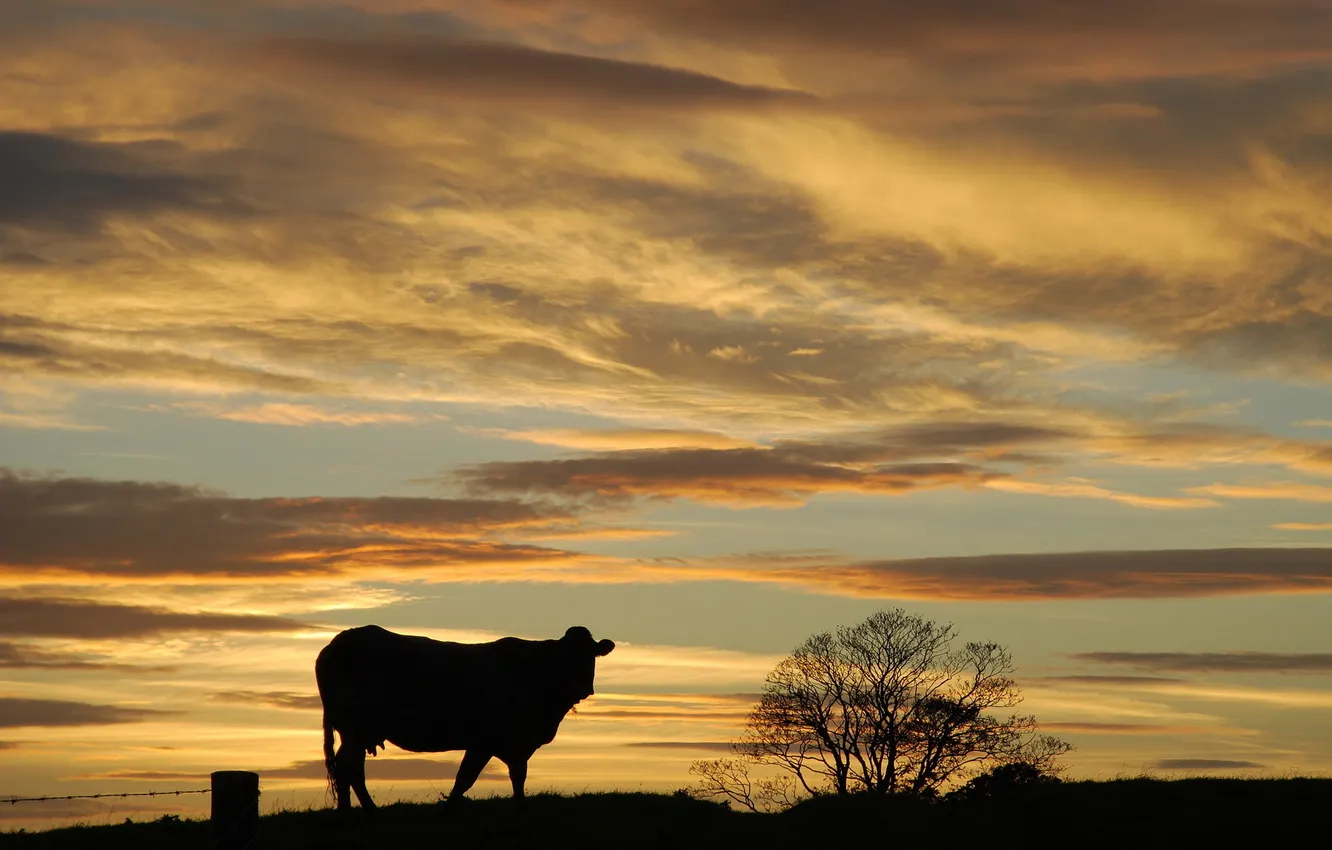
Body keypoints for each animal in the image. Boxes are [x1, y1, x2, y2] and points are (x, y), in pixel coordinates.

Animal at [315, 624, 615, 813]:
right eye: (566, 657)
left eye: (591, 655)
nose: (583, 688)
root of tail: (337, 643)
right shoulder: (487, 740)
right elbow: (466, 778)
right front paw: (448, 809)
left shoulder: (516, 743)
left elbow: (516, 777)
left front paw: (520, 808)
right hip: (356, 728)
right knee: (348, 767)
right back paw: (362, 811)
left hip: (355, 731)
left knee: (348, 767)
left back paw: (353, 811)